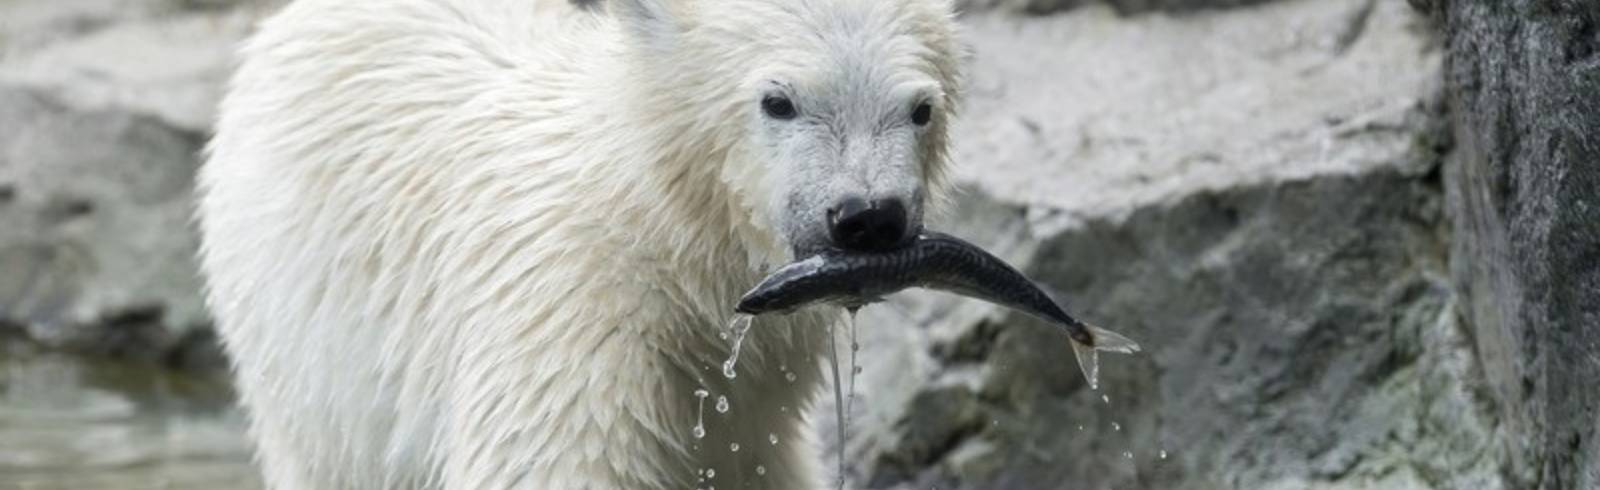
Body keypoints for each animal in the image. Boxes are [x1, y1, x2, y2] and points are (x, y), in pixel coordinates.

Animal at [188, 0, 960, 486]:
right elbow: (548, 460)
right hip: (301, 339)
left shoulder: (759, 378)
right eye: (780, 100)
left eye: (921, 108)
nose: (868, 216)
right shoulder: (568, 307)